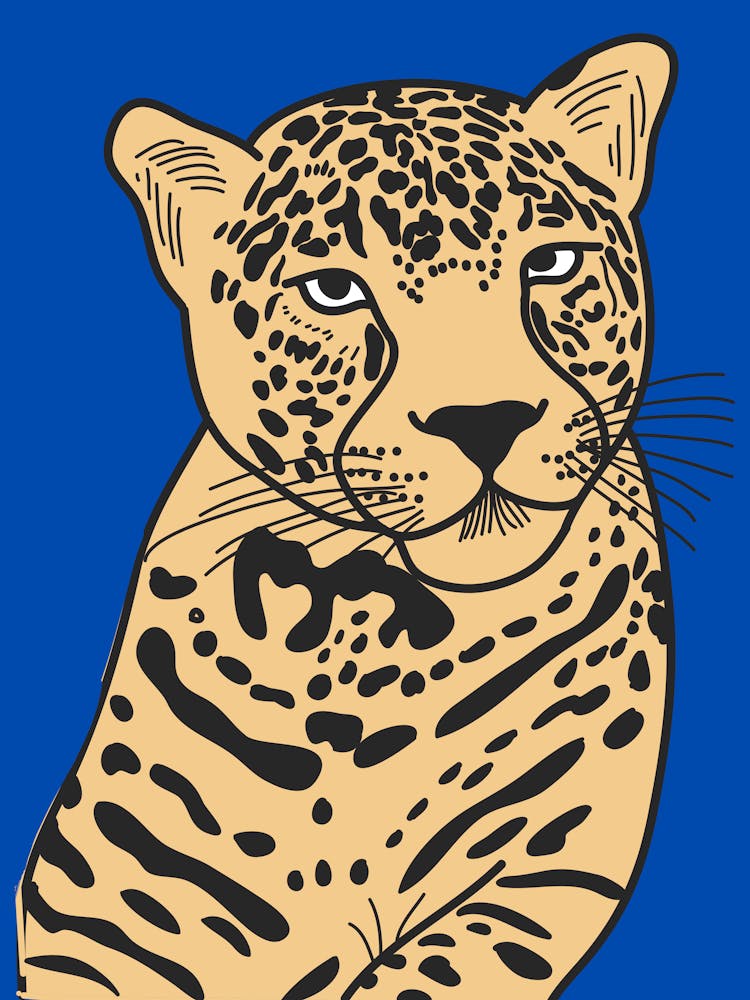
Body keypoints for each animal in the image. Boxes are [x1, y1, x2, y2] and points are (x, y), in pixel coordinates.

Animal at [17, 34, 677, 1000]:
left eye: (551, 265)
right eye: (333, 291)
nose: (487, 420)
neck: (378, 654)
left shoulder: (540, 872)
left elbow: (423, 976)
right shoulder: (97, 909)